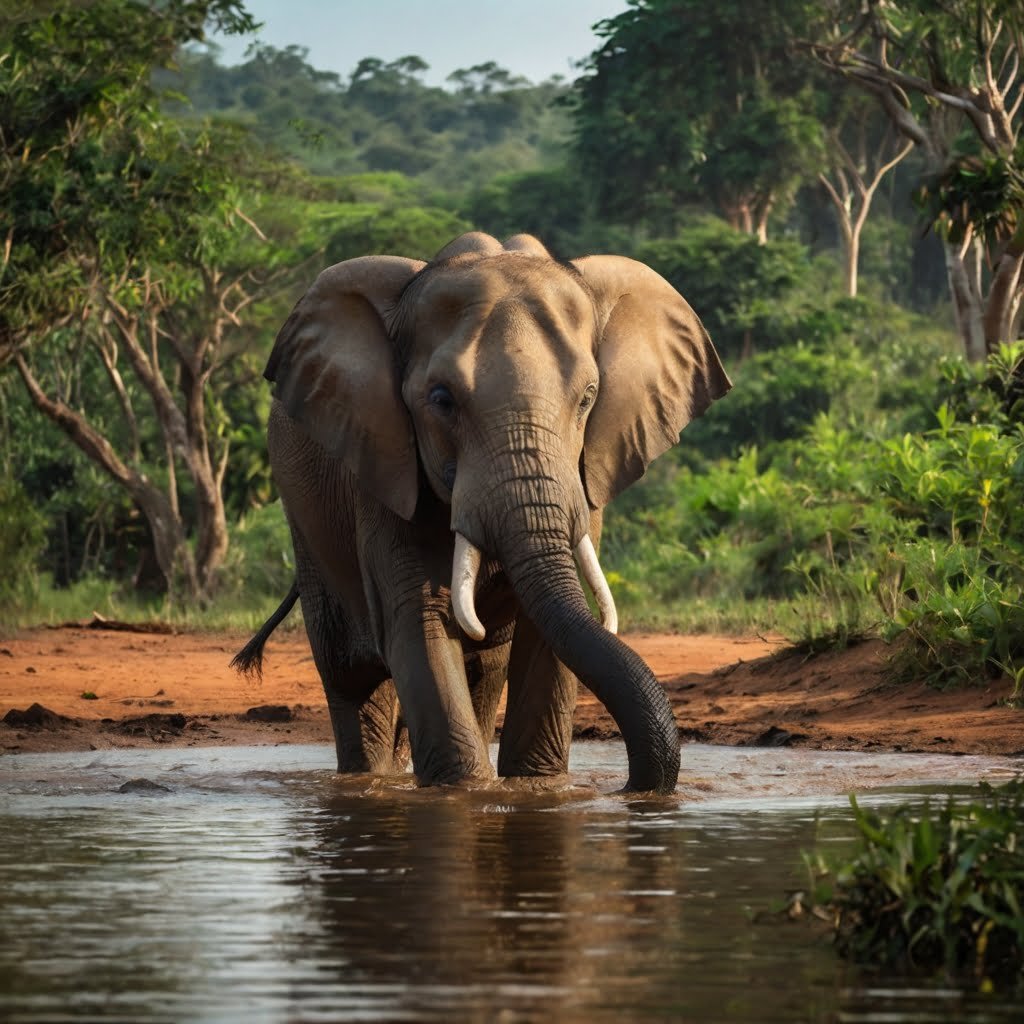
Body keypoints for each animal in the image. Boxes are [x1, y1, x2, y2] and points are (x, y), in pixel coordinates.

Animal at [234, 232, 729, 790]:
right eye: (441, 399)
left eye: (588, 398)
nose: (627, 785)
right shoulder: (384, 466)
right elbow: (420, 623)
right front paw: (466, 792)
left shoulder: (583, 478)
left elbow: (545, 635)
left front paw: (537, 789)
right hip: (304, 518)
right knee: (352, 678)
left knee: (484, 669)